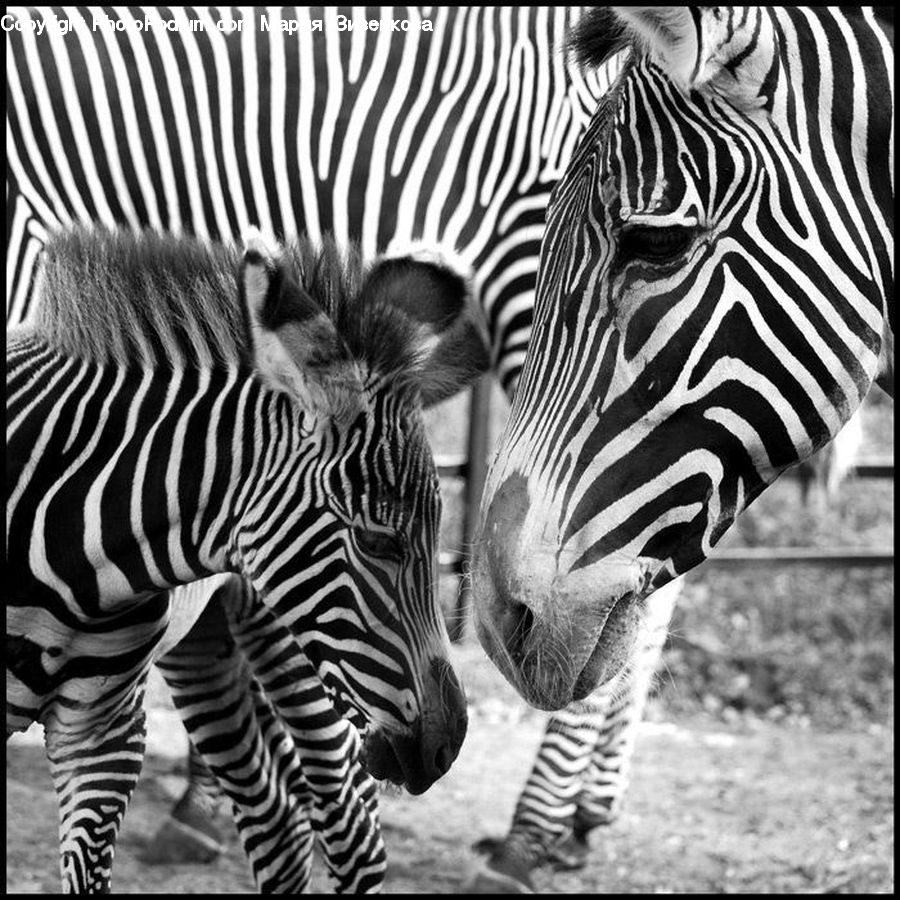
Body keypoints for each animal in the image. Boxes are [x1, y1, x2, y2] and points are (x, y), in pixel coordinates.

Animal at [6, 224, 487, 892]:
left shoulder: (103, 733)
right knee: (279, 820)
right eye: (378, 543)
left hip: (287, 644)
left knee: (347, 825)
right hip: (207, 643)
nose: (449, 745)